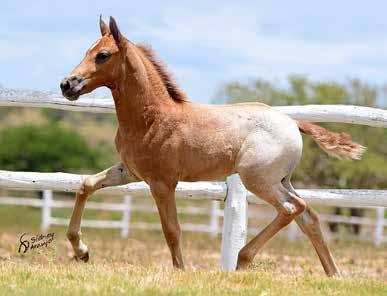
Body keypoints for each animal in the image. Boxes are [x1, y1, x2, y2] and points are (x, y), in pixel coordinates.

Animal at [59, 16, 366, 276]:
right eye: (87, 51)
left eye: (102, 55)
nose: (67, 84)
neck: (151, 118)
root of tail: (293, 122)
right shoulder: (130, 171)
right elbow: (86, 184)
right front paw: (81, 251)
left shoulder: (162, 182)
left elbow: (172, 229)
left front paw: (181, 272)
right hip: (280, 180)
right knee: (308, 215)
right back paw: (333, 274)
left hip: (257, 179)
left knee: (292, 209)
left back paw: (243, 259)